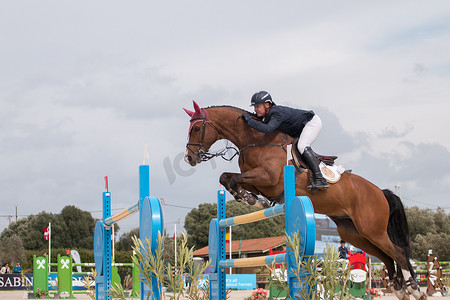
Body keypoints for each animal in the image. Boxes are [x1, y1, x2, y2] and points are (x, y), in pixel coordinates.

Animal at [183, 101, 426, 300]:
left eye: (196, 128)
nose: (189, 158)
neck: (255, 141)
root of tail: (380, 192)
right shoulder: (257, 181)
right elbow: (226, 178)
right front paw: (250, 198)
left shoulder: (268, 178)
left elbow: (234, 179)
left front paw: (252, 200)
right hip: (355, 233)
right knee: (386, 255)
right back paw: (399, 287)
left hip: (371, 229)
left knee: (398, 252)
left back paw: (413, 287)